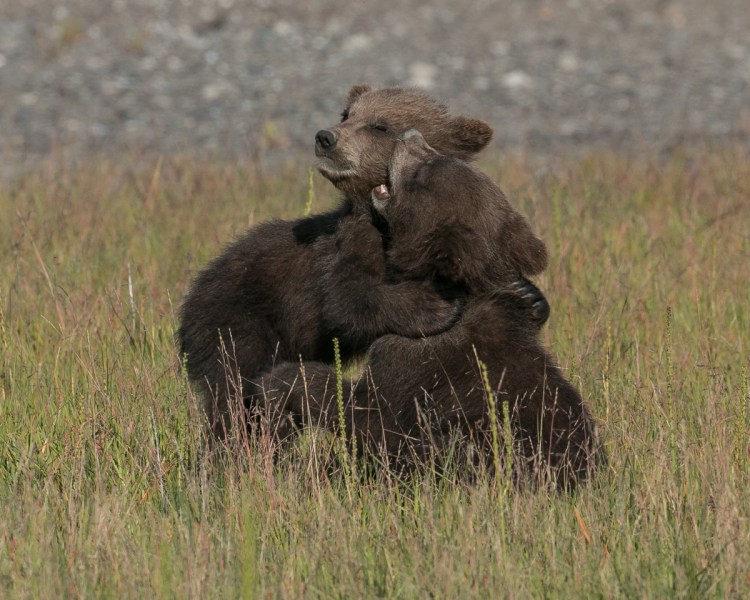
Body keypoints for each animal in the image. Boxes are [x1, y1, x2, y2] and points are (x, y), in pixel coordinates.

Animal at [177, 85, 495, 438]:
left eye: (380, 125)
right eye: (347, 114)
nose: (326, 137)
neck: (389, 222)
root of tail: (193, 292)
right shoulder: (352, 243)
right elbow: (347, 300)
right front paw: (435, 305)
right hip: (237, 321)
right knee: (236, 394)